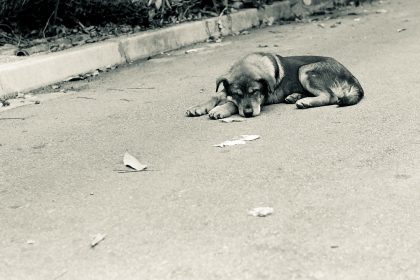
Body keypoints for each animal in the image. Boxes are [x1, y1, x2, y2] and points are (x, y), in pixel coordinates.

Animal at [185, 52, 362, 118]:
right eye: (237, 94)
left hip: (305, 70)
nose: (248, 114)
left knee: (330, 96)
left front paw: (220, 109)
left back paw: (305, 102)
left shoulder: (263, 98)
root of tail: (351, 75)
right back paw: (294, 96)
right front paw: (198, 107)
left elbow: (232, 104)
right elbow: (216, 95)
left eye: (255, 92)